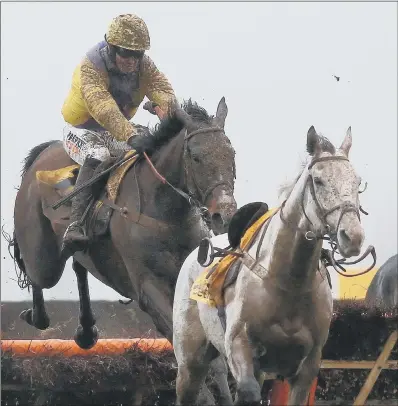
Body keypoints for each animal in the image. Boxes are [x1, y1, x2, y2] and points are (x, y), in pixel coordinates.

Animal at [11, 99, 236, 406]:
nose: (223, 214)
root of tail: (44, 151)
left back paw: (86, 331)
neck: (166, 212)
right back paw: (36, 316)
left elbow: (213, 359)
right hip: (42, 255)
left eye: (231, 154)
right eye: (196, 157)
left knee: (79, 266)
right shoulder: (148, 290)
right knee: (37, 274)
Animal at [173, 125, 372, 404]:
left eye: (357, 183)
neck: (289, 282)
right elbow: (248, 391)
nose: (352, 237)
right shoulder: (239, 345)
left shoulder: (306, 367)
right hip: (190, 362)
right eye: (318, 180)